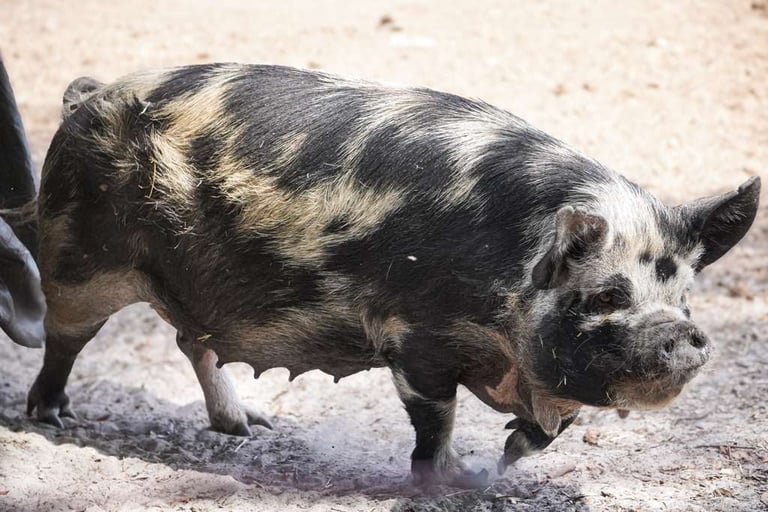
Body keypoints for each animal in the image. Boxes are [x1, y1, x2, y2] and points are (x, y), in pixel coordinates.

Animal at [23, 63, 760, 488]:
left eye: (685, 299)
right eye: (606, 294)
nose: (682, 336)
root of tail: (87, 97)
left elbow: (550, 430)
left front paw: (503, 462)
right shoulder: (414, 332)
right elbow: (436, 418)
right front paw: (454, 480)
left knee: (192, 340)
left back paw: (252, 427)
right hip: (77, 258)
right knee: (64, 337)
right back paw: (51, 416)